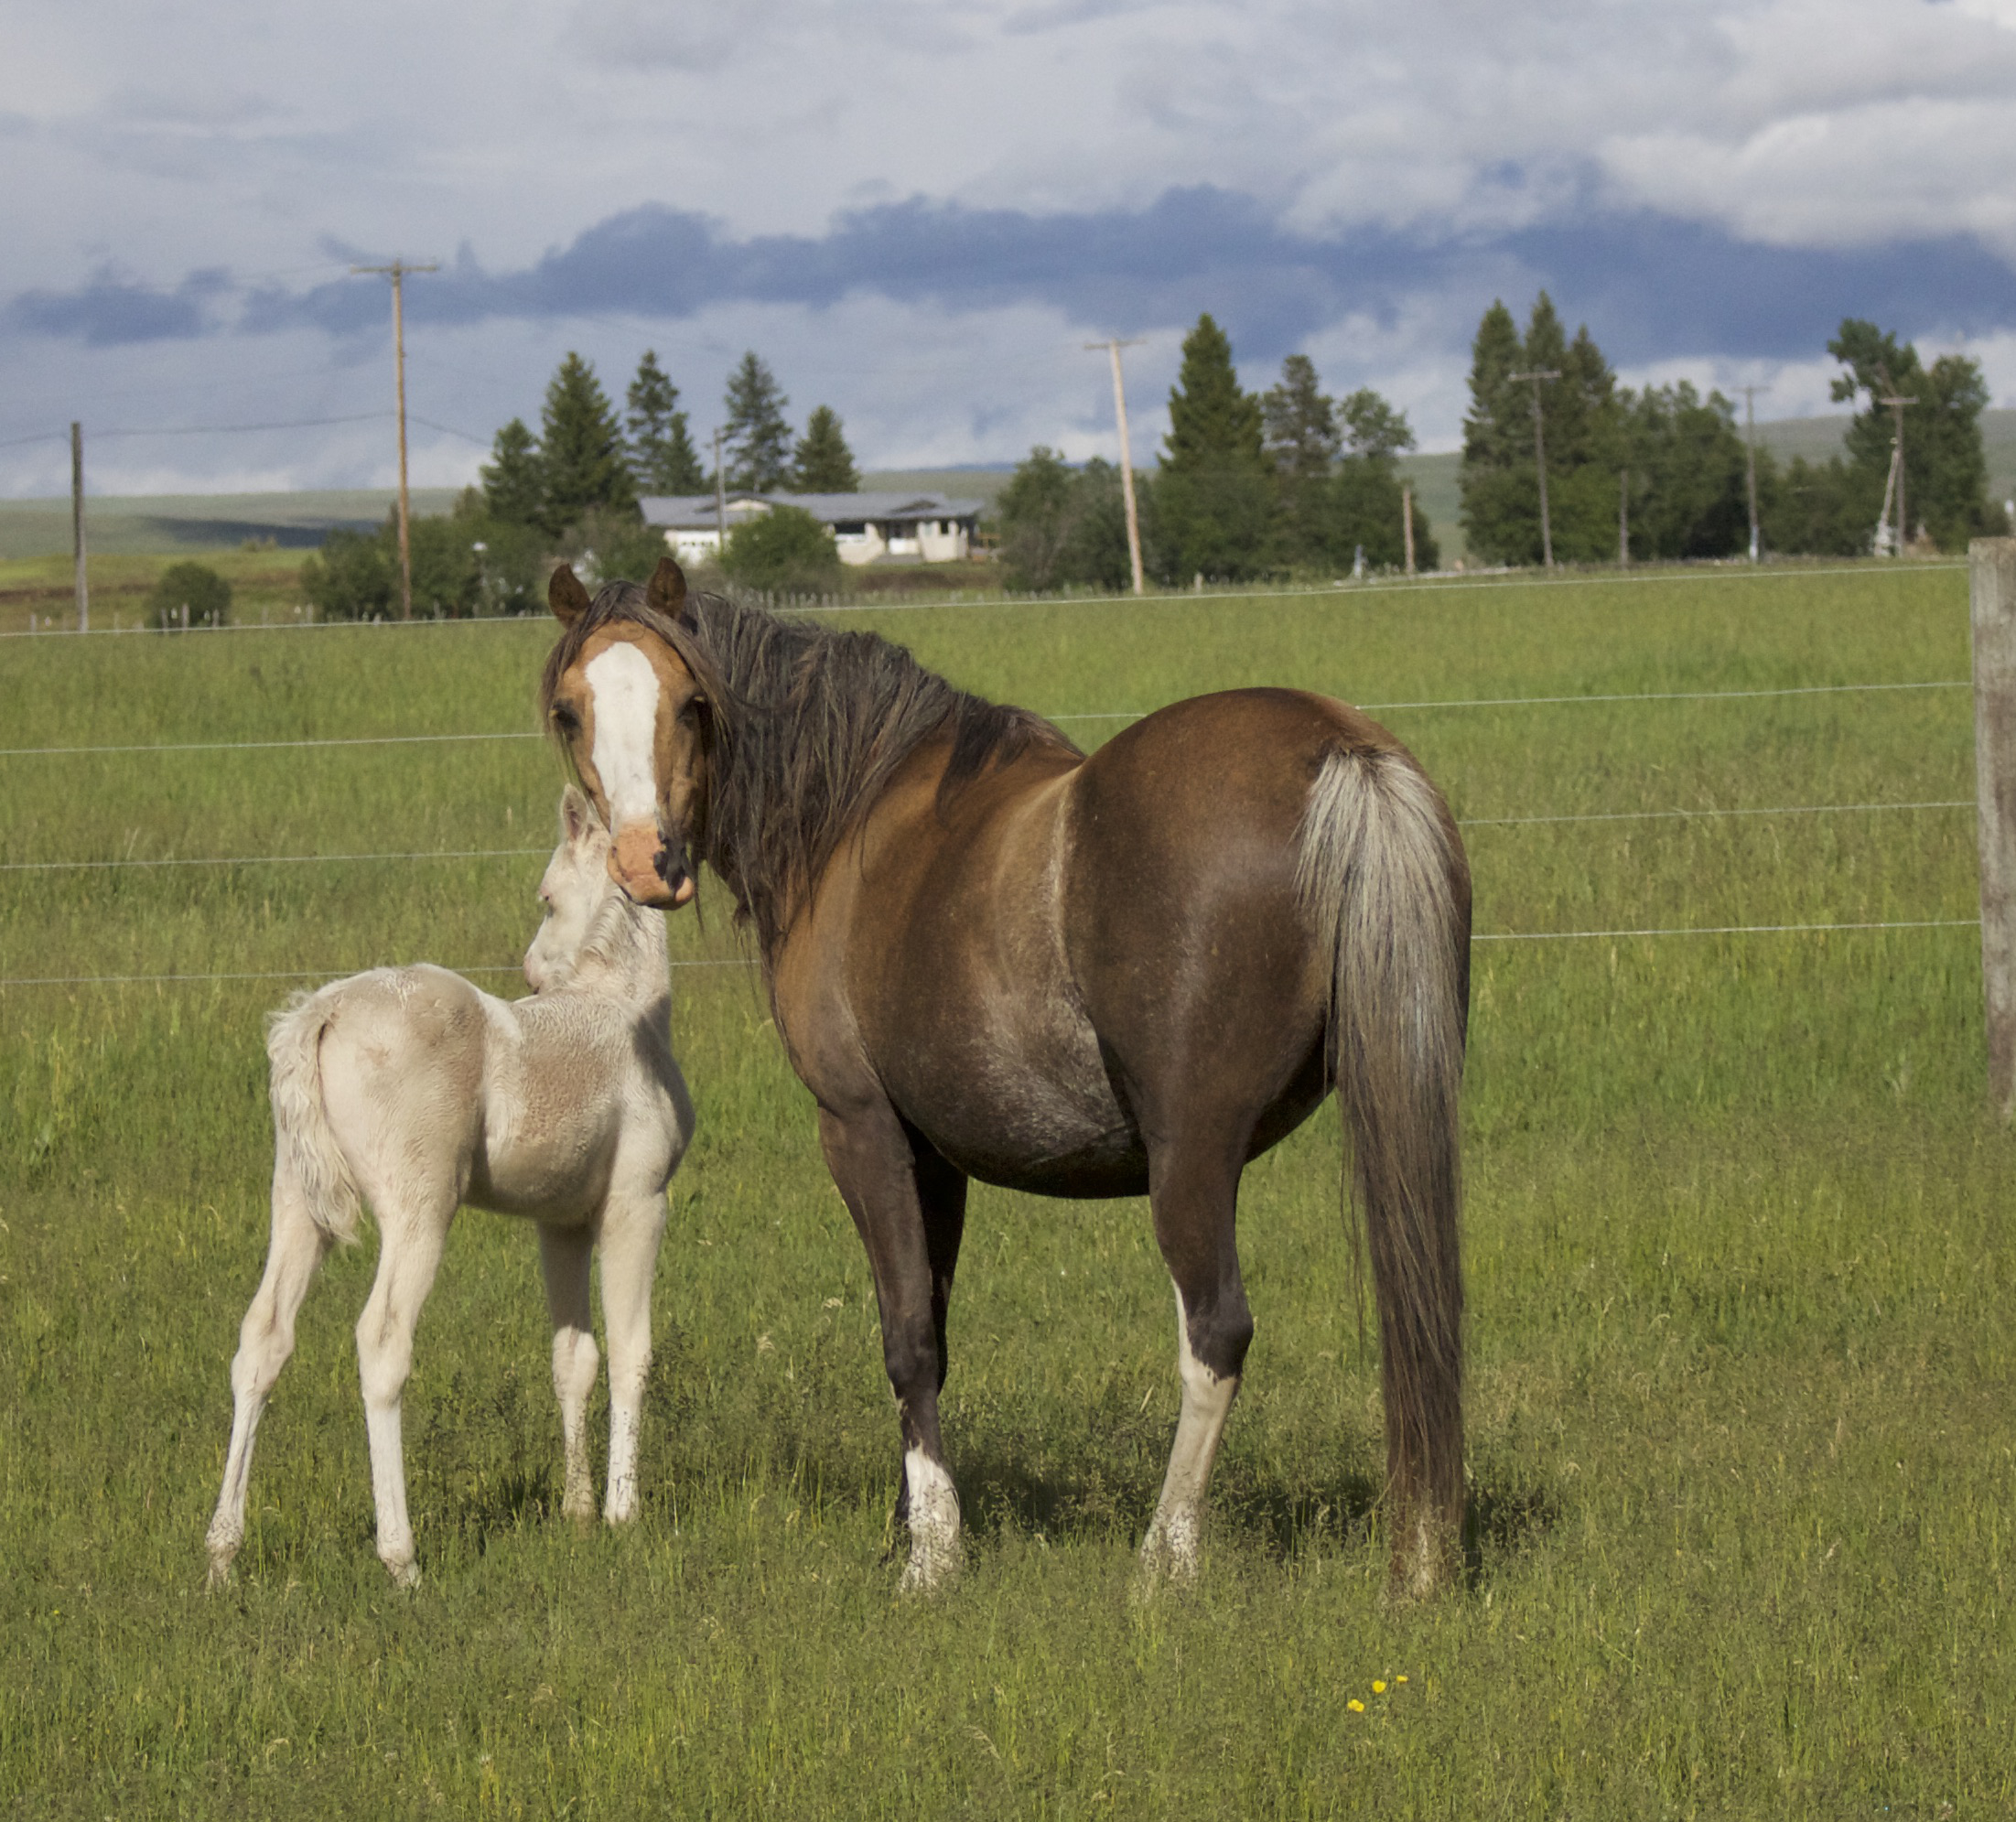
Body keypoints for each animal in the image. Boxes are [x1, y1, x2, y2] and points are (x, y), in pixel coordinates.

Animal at [204, 790, 693, 1588]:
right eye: (547, 894)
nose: (531, 971)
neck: (620, 1008)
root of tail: (321, 1013)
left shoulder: (559, 1221)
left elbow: (573, 1358)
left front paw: (577, 1512)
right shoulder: (636, 1203)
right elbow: (630, 1351)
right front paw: (623, 1514)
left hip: (296, 1202)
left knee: (262, 1339)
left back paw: (222, 1553)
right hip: (419, 1207)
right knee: (381, 1341)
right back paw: (401, 1558)